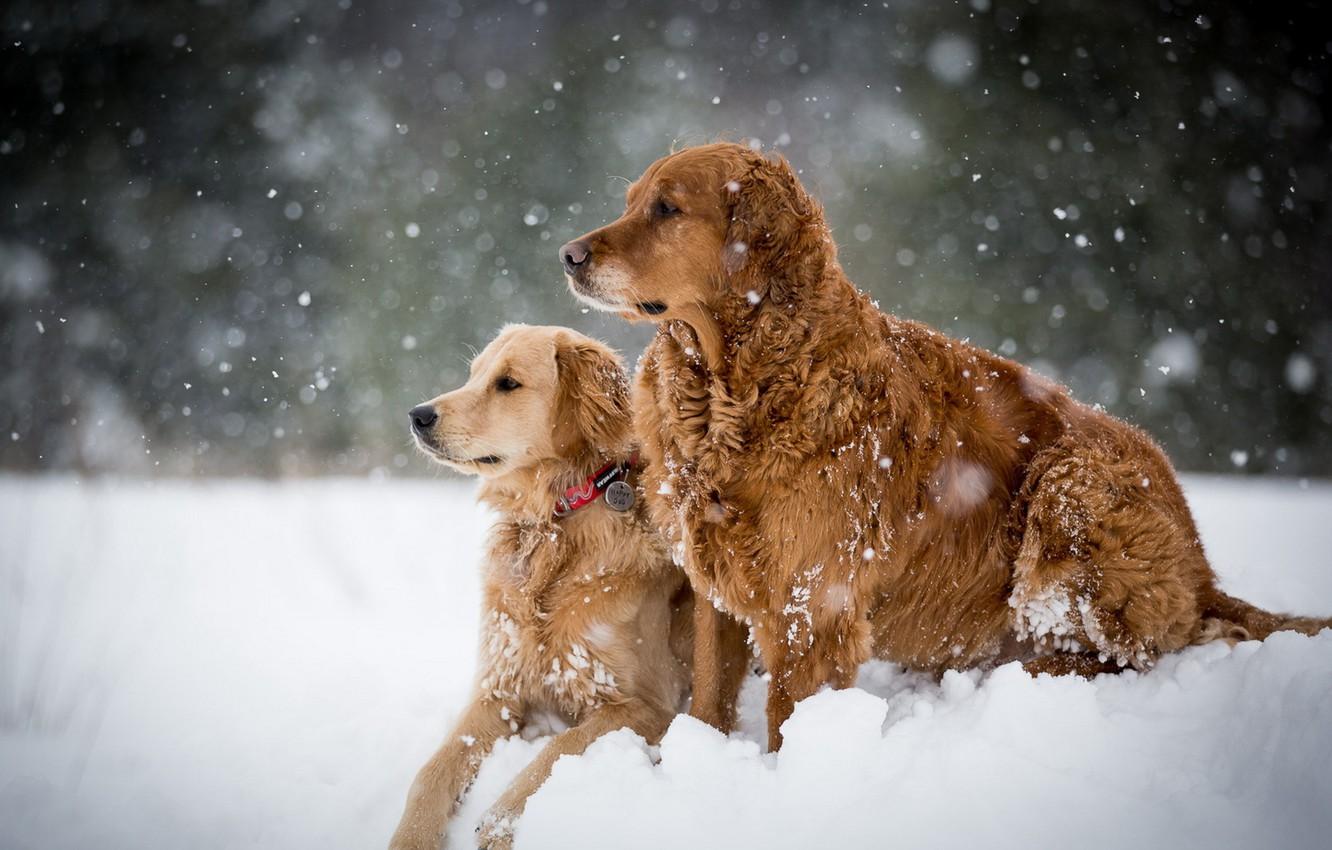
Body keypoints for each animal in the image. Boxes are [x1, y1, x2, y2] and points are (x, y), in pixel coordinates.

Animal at [388, 325, 687, 850]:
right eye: (473, 375)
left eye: (508, 383)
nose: (418, 415)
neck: (552, 526)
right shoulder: (499, 689)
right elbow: (432, 771)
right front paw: (411, 837)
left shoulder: (648, 704)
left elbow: (558, 751)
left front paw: (498, 824)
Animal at [556, 143, 1326, 751]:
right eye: (631, 201)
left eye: (667, 208)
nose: (567, 254)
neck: (733, 390)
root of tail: (1202, 567)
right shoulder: (714, 576)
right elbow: (711, 699)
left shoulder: (816, 600)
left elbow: (789, 718)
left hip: (1072, 485)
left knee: (1139, 649)